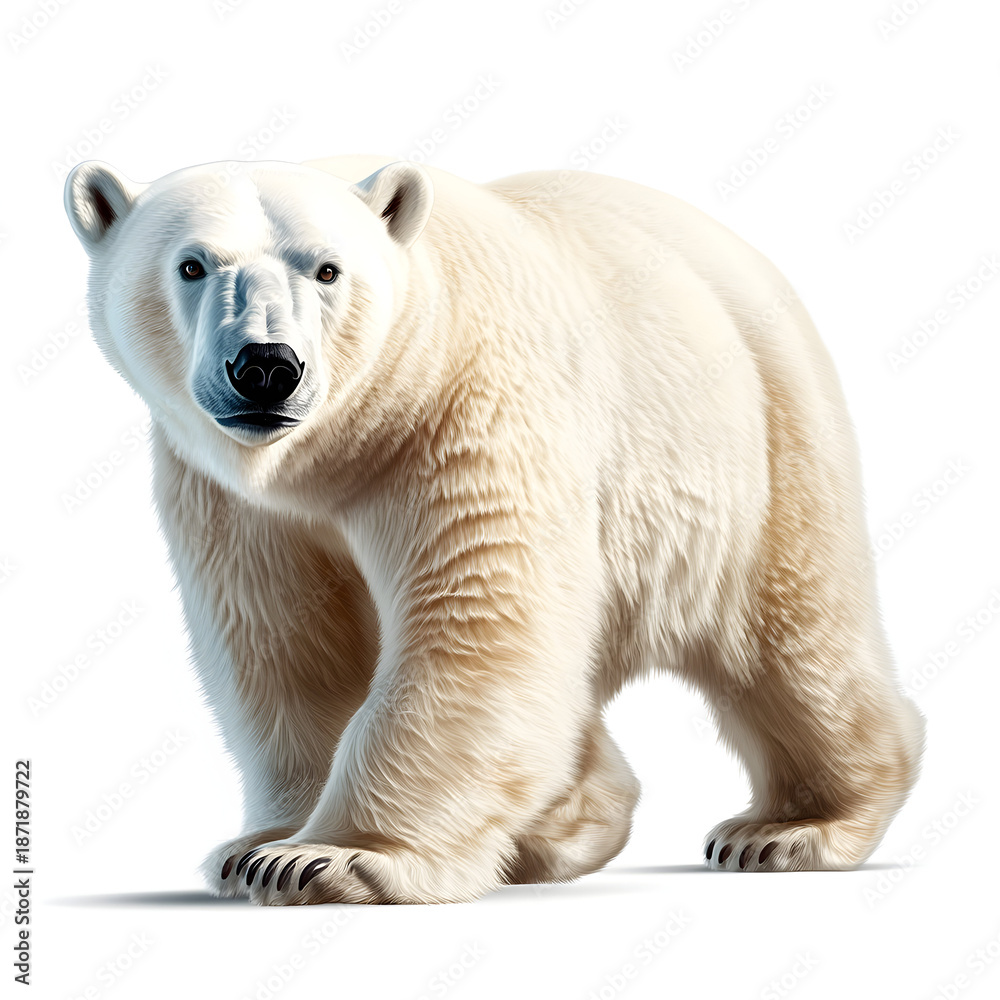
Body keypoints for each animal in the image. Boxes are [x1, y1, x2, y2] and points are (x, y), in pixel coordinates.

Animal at [64, 153, 925, 905]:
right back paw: (560, 830)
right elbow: (289, 640)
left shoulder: (460, 413)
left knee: (786, 635)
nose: (267, 367)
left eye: (327, 269)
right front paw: (258, 845)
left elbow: (478, 613)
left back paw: (790, 829)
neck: (339, 446)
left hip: (757, 440)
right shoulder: (233, 498)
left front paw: (327, 858)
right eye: (192, 266)